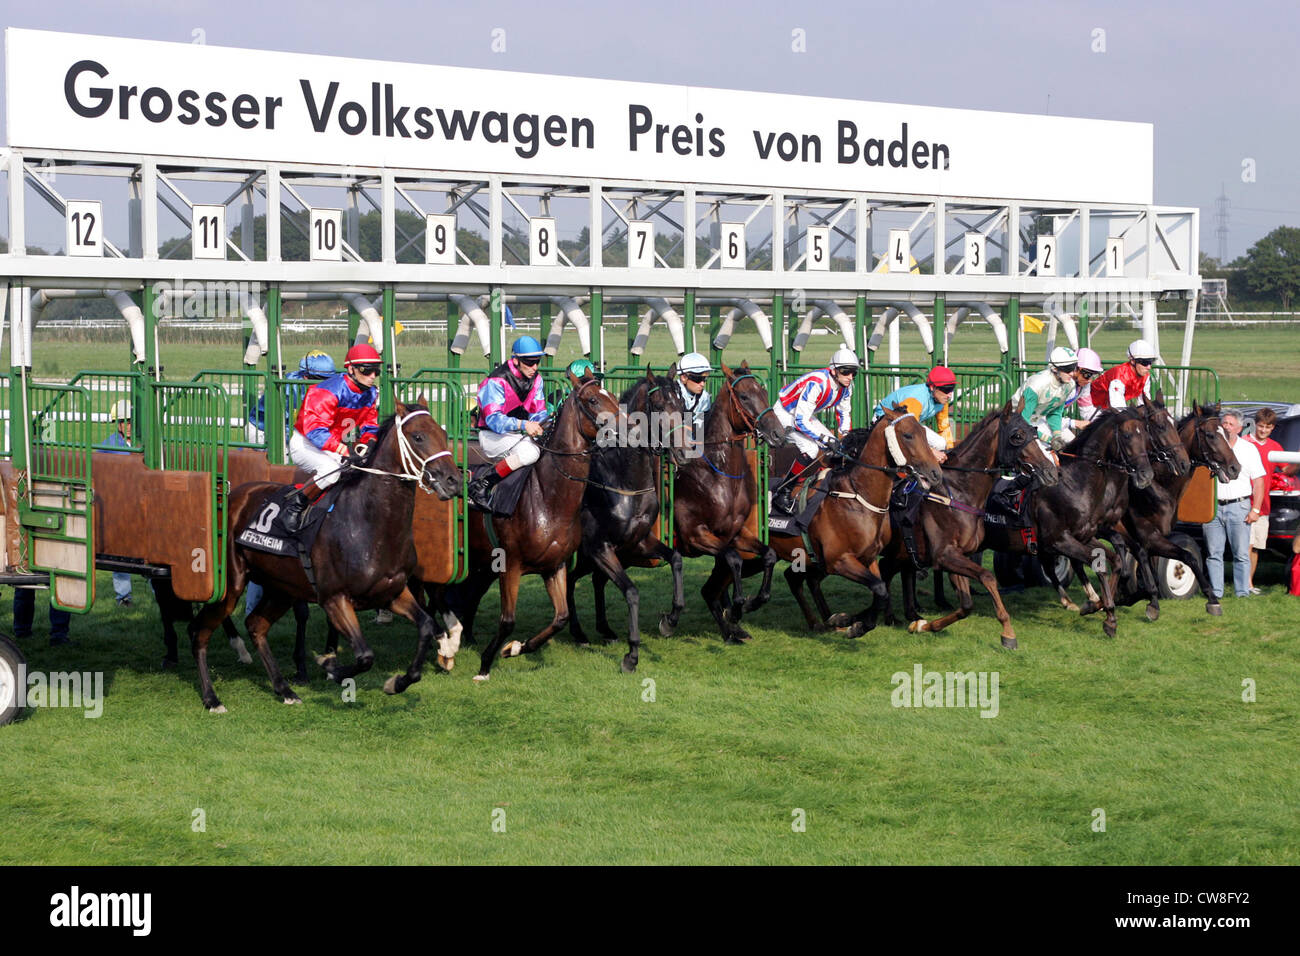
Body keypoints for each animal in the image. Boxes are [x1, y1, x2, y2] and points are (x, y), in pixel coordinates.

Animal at [188, 403, 462, 712]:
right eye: (418, 437)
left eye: (442, 434)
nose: (453, 481)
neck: (370, 523)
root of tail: (232, 497)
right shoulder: (334, 598)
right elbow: (365, 656)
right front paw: (329, 666)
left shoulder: (391, 593)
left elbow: (426, 627)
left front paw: (398, 682)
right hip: (230, 586)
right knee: (200, 632)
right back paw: (212, 698)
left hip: (281, 588)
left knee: (255, 625)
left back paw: (284, 689)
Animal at [566, 366, 691, 671]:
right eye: (658, 406)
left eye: (682, 405)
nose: (684, 452)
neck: (622, 480)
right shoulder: (599, 548)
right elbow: (632, 592)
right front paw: (632, 654)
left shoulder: (638, 541)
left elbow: (676, 559)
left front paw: (670, 620)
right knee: (571, 581)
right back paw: (579, 632)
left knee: (583, 580)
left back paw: (601, 629)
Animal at [670, 361, 780, 647]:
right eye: (743, 396)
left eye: (764, 392)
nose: (778, 432)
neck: (716, 476)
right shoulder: (695, 535)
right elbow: (733, 560)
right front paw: (738, 608)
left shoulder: (735, 533)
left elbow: (769, 555)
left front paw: (749, 606)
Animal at [873, 400, 1066, 647]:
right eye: (1017, 436)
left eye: (1034, 431)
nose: (1051, 472)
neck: (959, 492)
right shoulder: (946, 555)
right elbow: (988, 577)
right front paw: (1008, 632)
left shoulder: (959, 555)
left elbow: (966, 605)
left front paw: (926, 626)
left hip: (900, 553)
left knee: (888, 570)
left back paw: (901, 615)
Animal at [982, 408, 1159, 639]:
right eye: (1127, 436)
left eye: (1146, 436)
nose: (1146, 475)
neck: (1075, 484)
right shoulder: (1060, 539)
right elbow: (1099, 563)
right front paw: (1109, 615)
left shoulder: (1084, 535)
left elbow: (1117, 560)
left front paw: (1102, 603)